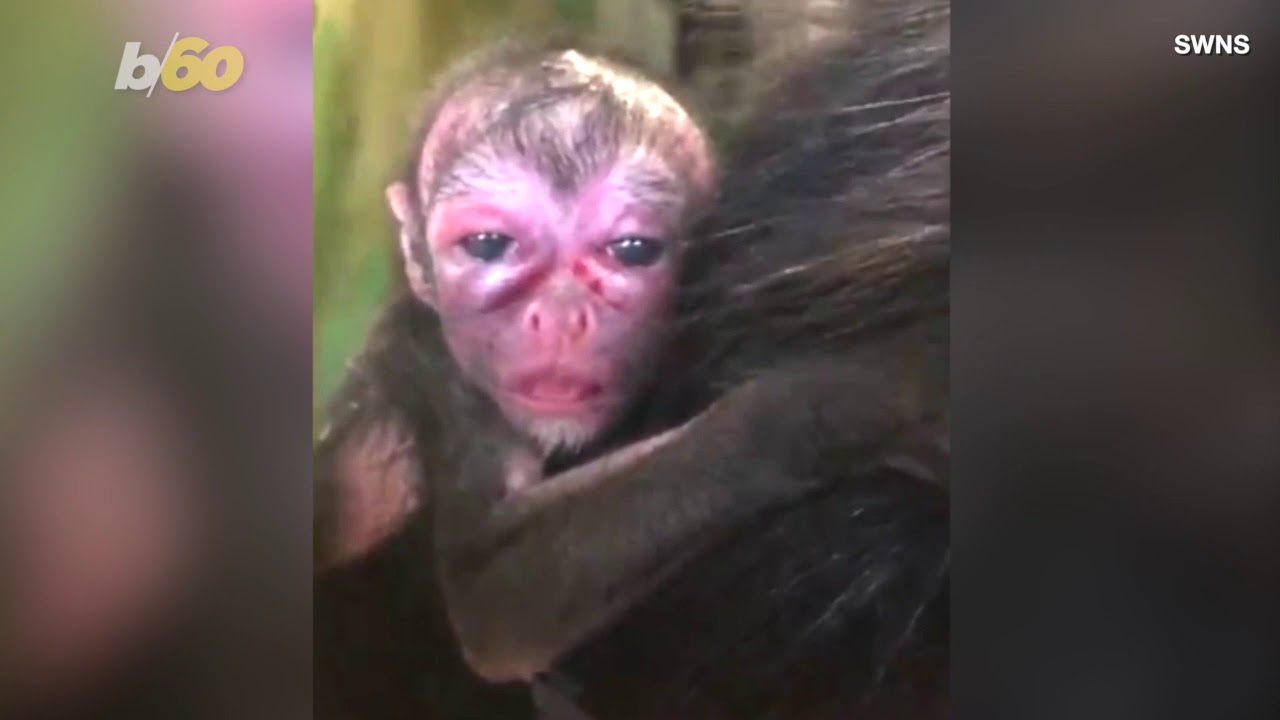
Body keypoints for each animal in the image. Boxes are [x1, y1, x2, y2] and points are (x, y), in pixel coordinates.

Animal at [315, 1, 949, 716]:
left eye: (632, 250)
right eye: (487, 245)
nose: (561, 317)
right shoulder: (437, 365)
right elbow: (494, 592)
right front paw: (839, 404)